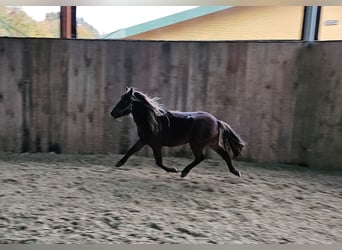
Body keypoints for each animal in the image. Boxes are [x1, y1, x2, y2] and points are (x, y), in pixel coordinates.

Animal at [111, 88, 244, 178]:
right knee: (224, 154)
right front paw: (118, 163)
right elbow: (131, 151)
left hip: (196, 144)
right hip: (212, 143)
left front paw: (173, 169)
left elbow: (158, 162)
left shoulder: (156, 144)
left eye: (125, 101)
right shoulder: (143, 141)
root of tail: (216, 121)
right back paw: (235, 172)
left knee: (200, 157)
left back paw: (184, 172)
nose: (112, 113)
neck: (153, 121)